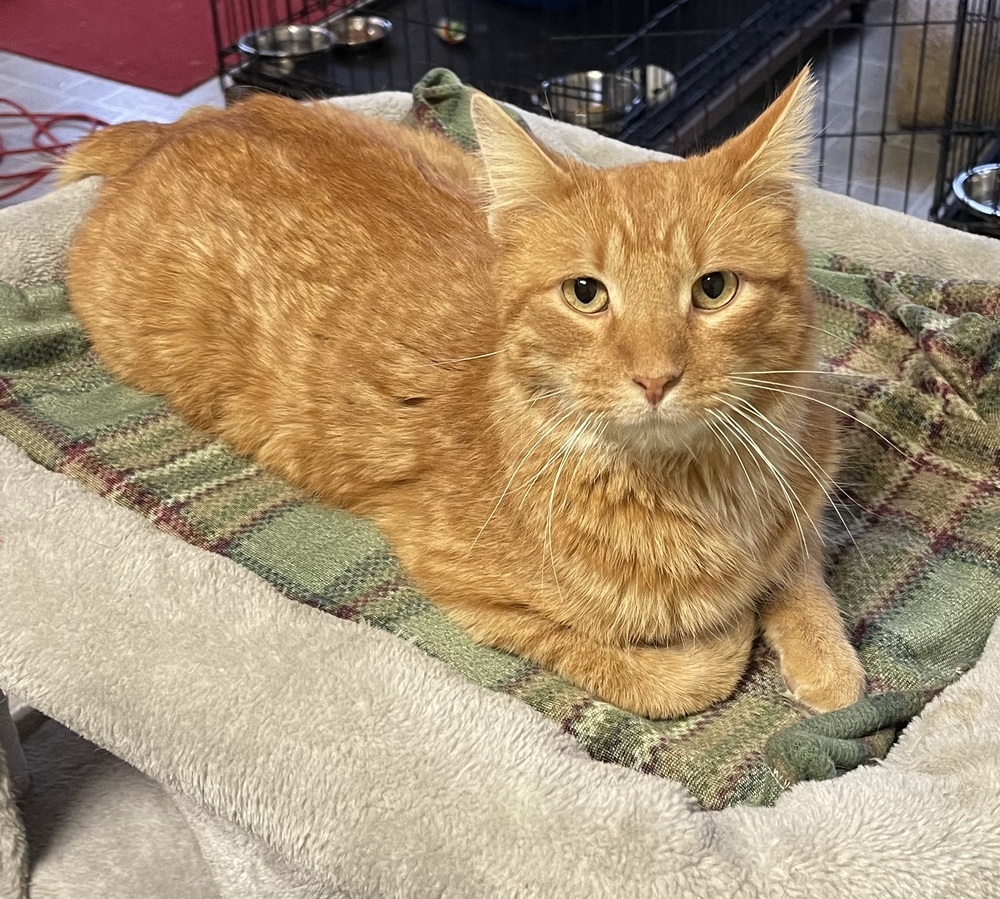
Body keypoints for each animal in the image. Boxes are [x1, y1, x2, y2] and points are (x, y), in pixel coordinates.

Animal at [62, 68, 864, 716]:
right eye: (586, 293)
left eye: (714, 288)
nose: (655, 377)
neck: (702, 488)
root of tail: (178, 125)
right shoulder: (462, 587)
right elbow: (677, 674)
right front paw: (731, 633)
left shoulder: (802, 499)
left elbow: (800, 571)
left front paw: (825, 658)